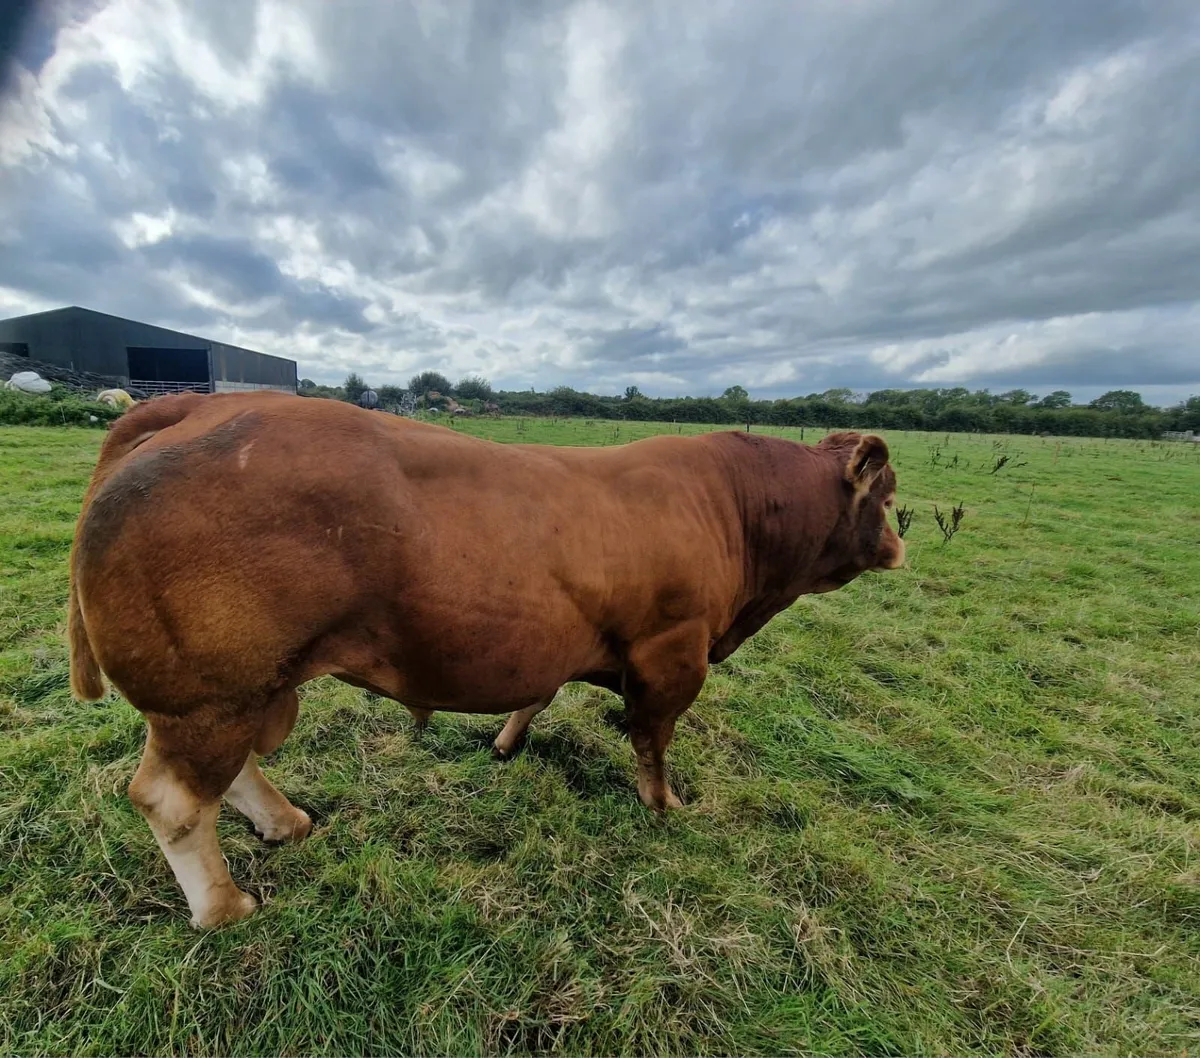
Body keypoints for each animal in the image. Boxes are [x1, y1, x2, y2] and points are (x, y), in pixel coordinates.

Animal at [68, 391, 904, 928]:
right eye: (889, 496)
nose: (901, 547)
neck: (731, 509)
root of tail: (194, 405)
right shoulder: (675, 651)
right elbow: (653, 738)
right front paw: (664, 804)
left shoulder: (560, 640)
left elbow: (540, 694)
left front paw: (506, 743)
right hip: (208, 694)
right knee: (175, 801)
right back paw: (223, 907)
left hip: (239, 692)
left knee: (230, 772)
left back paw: (287, 823)